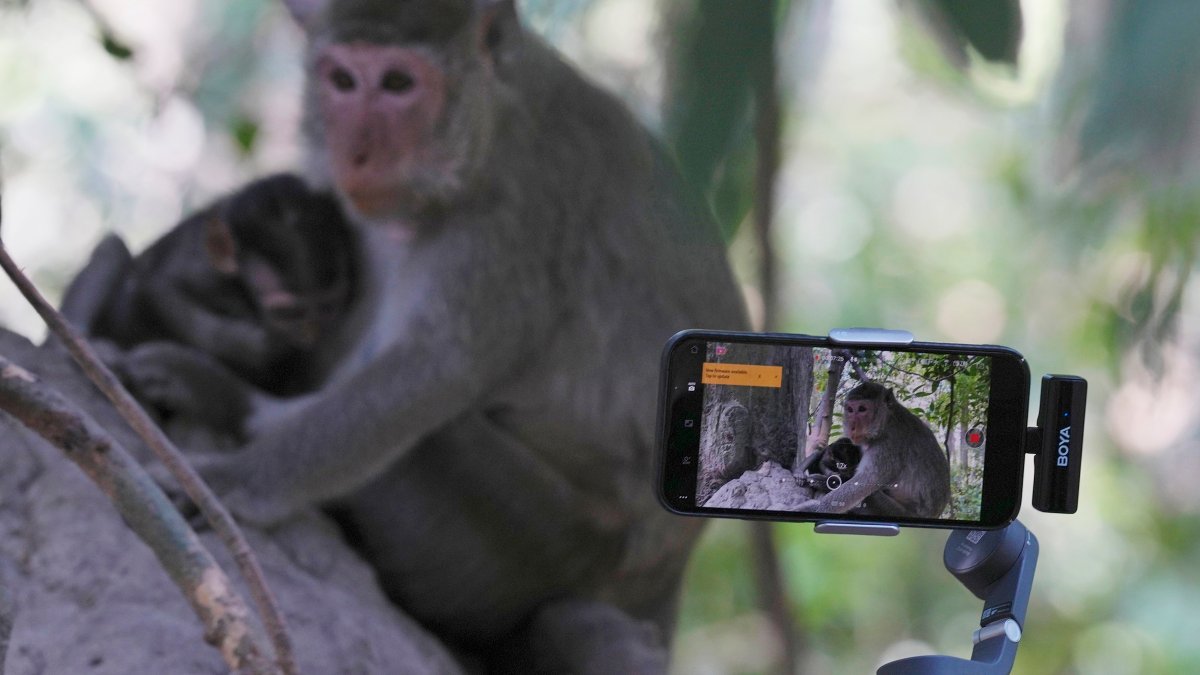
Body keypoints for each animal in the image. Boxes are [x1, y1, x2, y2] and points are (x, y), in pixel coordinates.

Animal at [61, 173, 357, 400]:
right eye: (288, 313)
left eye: (327, 309)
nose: (311, 334)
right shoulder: (203, 271)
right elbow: (158, 289)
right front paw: (255, 347)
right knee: (113, 250)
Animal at [112, 0, 748, 670]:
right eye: (343, 81)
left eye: (398, 84)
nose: (356, 155)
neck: (488, 121)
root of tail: (668, 577)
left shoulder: (520, 204)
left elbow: (436, 370)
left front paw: (234, 481)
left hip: (547, 541)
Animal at [796, 382, 951, 518]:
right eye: (850, 409)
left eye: (862, 409)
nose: (852, 427)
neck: (887, 421)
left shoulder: (888, 446)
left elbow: (863, 484)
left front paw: (813, 506)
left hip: (892, 511)